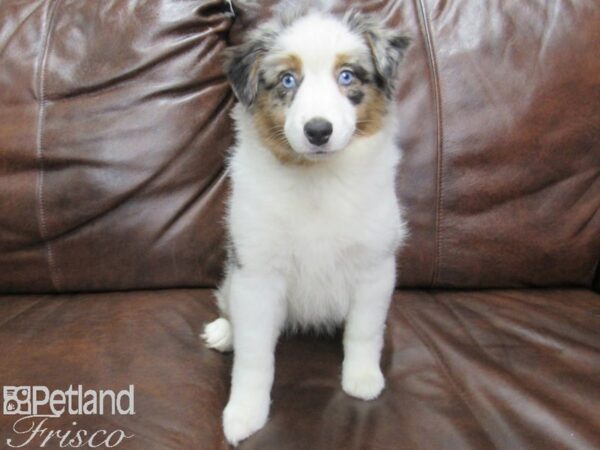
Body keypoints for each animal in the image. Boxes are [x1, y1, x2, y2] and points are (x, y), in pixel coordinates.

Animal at [202, 2, 408, 446]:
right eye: (287, 80)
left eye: (346, 76)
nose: (318, 130)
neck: (317, 179)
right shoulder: (256, 274)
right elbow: (254, 357)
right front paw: (244, 413)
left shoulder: (375, 267)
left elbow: (364, 330)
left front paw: (362, 378)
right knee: (229, 305)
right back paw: (225, 333)